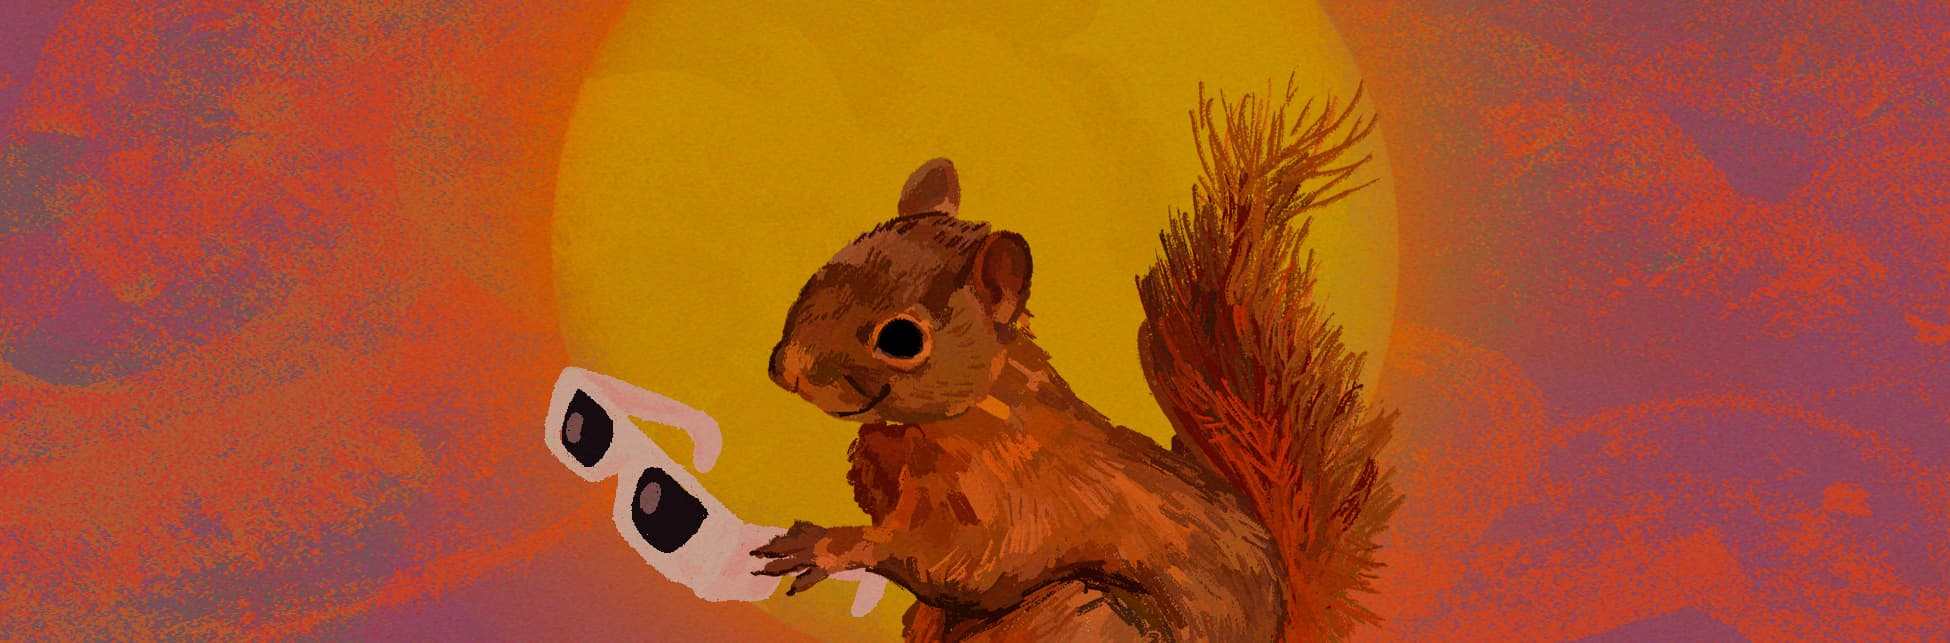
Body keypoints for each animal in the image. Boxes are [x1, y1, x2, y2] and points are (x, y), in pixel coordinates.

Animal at [753, 82, 1399, 642]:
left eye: (903, 339)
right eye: (828, 264)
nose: (785, 369)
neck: (965, 416)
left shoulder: (1006, 502)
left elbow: (946, 560)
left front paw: (829, 544)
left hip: (1087, 616)